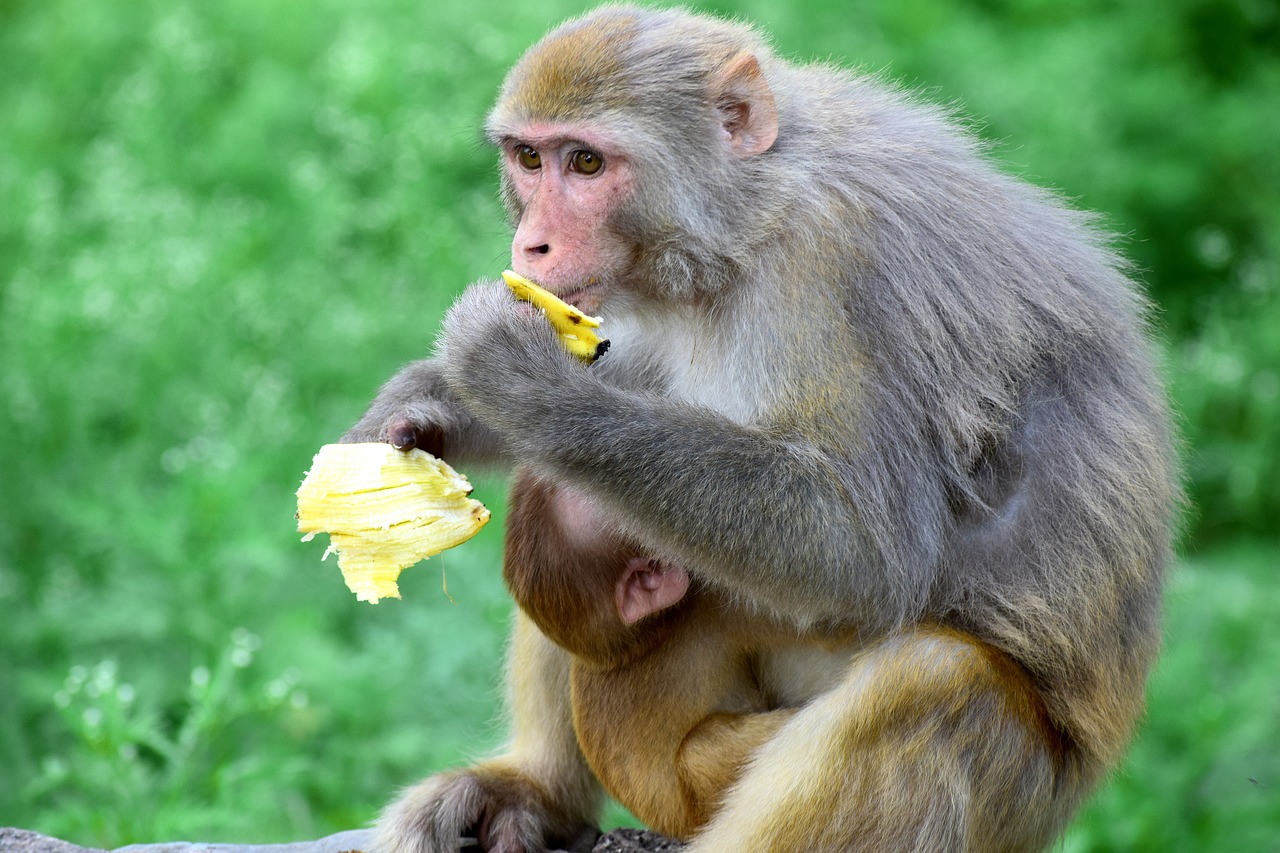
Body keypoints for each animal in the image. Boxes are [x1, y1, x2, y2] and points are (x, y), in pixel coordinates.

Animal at [343, 6, 1177, 850]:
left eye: (585, 162)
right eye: (528, 159)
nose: (532, 244)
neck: (751, 222)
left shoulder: (830, 274)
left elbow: (865, 550)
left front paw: (525, 384)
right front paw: (424, 408)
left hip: (1018, 788)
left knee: (934, 676)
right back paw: (539, 789)